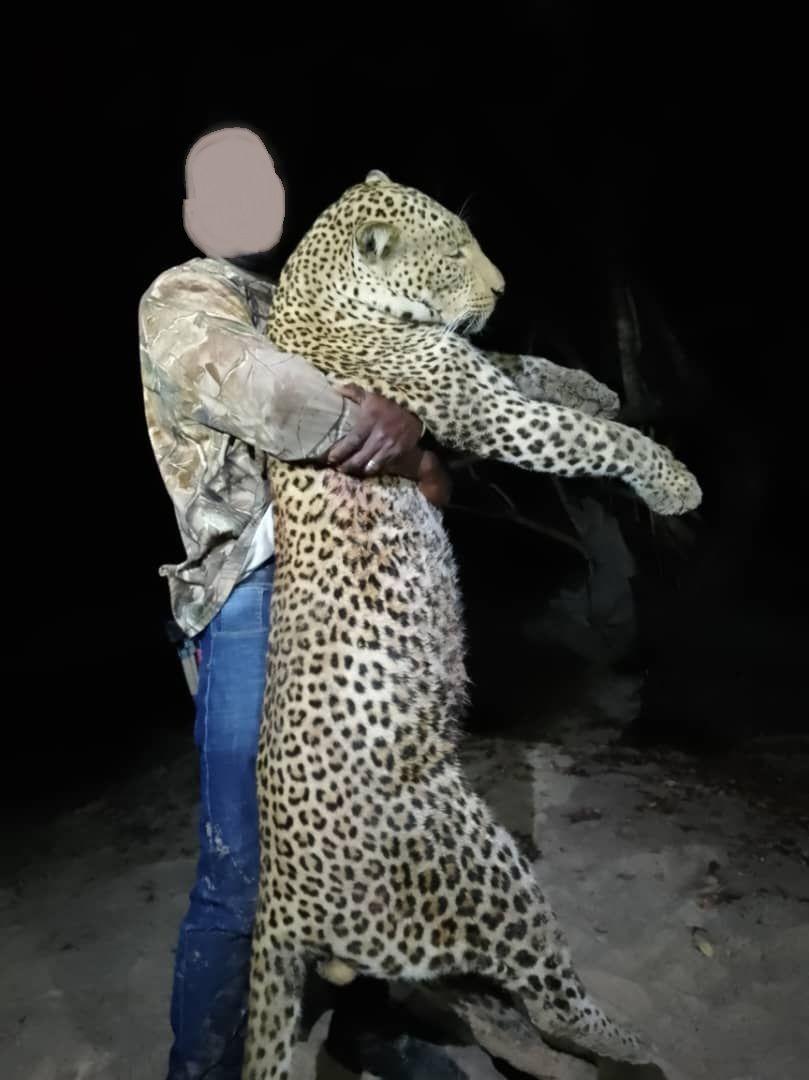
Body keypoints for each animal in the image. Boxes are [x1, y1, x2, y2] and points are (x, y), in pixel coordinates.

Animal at [241, 169, 701, 1079]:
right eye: (453, 254)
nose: (500, 288)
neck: (326, 294)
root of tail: (276, 902)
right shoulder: (489, 416)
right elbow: (595, 438)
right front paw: (670, 482)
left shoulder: (478, 377)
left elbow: (526, 364)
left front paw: (594, 383)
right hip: (474, 864)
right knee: (551, 998)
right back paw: (627, 1046)